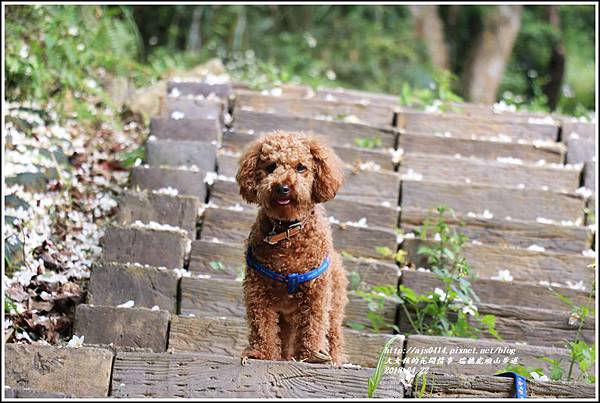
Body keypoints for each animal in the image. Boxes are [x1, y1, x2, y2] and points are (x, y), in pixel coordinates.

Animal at [234, 131, 346, 364]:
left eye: (301, 167)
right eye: (270, 167)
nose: (283, 187)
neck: (287, 231)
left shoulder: (316, 293)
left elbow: (314, 325)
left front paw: (311, 355)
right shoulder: (258, 290)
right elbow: (262, 326)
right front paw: (262, 353)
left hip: (334, 305)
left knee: (333, 334)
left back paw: (332, 358)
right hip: (286, 318)